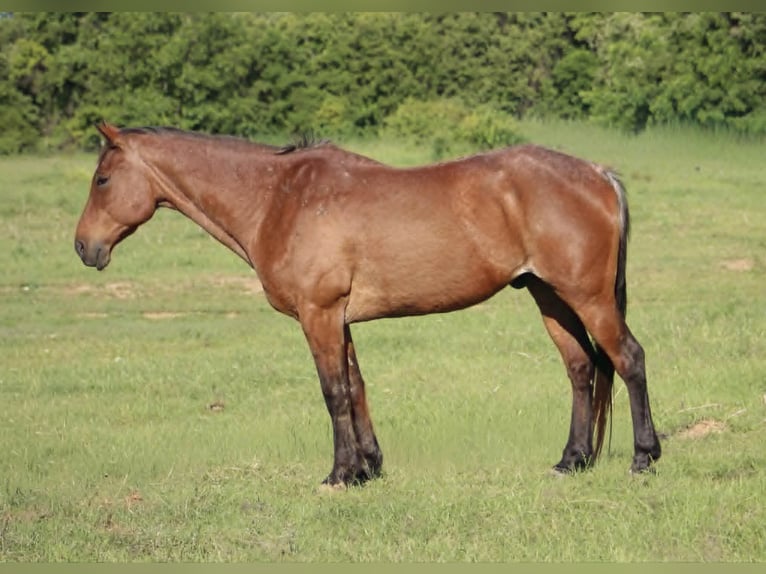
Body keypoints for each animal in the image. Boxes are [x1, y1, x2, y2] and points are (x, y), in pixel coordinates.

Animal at [74, 122, 661, 487]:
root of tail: (598, 174)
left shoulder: (318, 315)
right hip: (550, 297)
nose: (84, 247)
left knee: (628, 359)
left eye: (102, 179)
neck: (278, 197)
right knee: (581, 368)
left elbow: (333, 392)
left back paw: (643, 457)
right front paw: (368, 468)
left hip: (587, 297)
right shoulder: (339, 318)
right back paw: (571, 461)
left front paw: (338, 474)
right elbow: (356, 387)